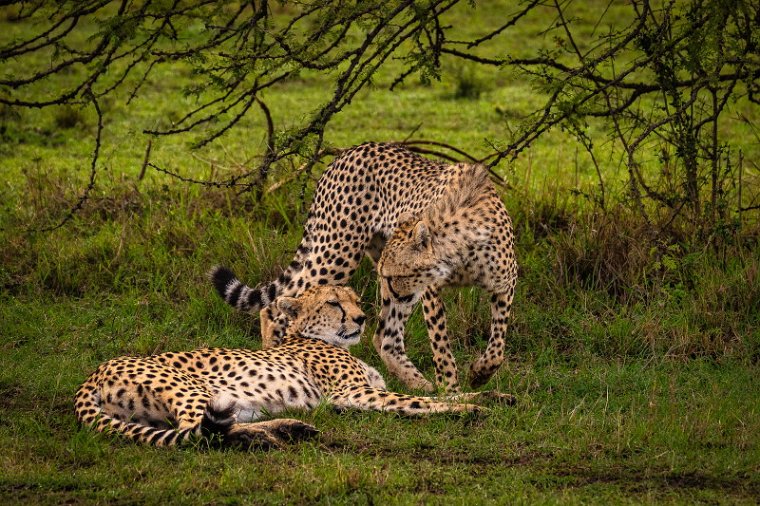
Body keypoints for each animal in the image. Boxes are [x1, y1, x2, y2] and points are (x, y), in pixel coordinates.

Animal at [72, 286, 504, 448]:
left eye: (355, 298)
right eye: (334, 303)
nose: (361, 318)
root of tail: (93, 373)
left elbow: (428, 394)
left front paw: (494, 395)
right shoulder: (352, 394)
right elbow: (417, 402)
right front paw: (472, 408)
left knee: (214, 428)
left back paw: (289, 428)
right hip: (194, 390)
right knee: (198, 433)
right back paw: (272, 435)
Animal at [211, 140, 512, 394]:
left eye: (398, 274)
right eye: (390, 275)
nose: (392, 291)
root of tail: (350, 150)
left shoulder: (504, 286)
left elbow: (498, 343)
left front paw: (480, 373)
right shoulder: (429, 291)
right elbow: (440, 343)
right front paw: (450, 388)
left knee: (385, 338)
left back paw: (418, 383)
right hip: (337, 252)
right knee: (278, 304)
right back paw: (274, 350)